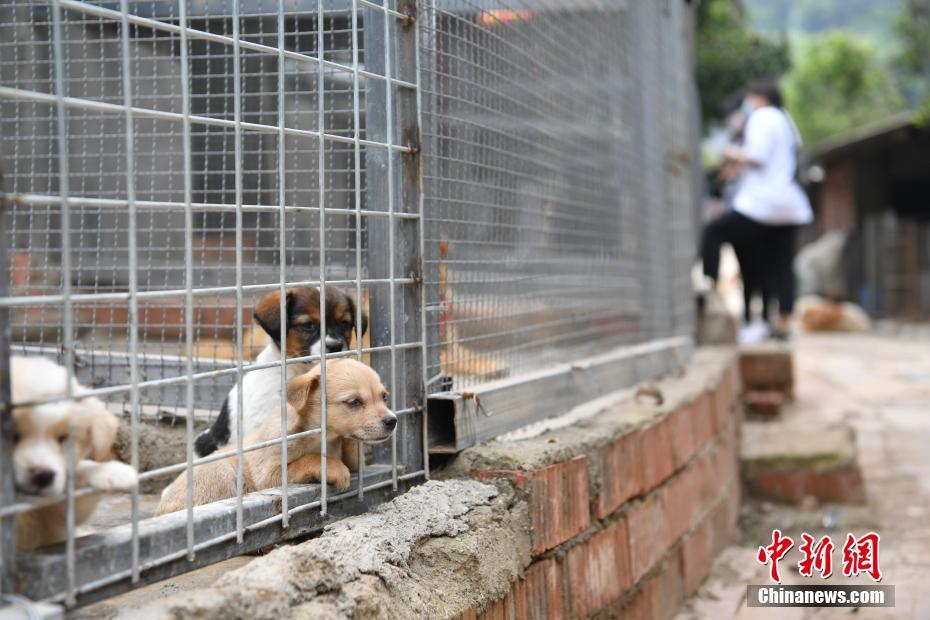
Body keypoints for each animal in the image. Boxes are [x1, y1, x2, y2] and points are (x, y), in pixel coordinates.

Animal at [156, 358, 396, 512]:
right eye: (354, 401)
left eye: (384, 397)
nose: (392, 421)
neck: (323, 439)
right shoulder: (269, 475)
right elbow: (306, 460)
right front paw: (334, 469)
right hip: (220, 473)